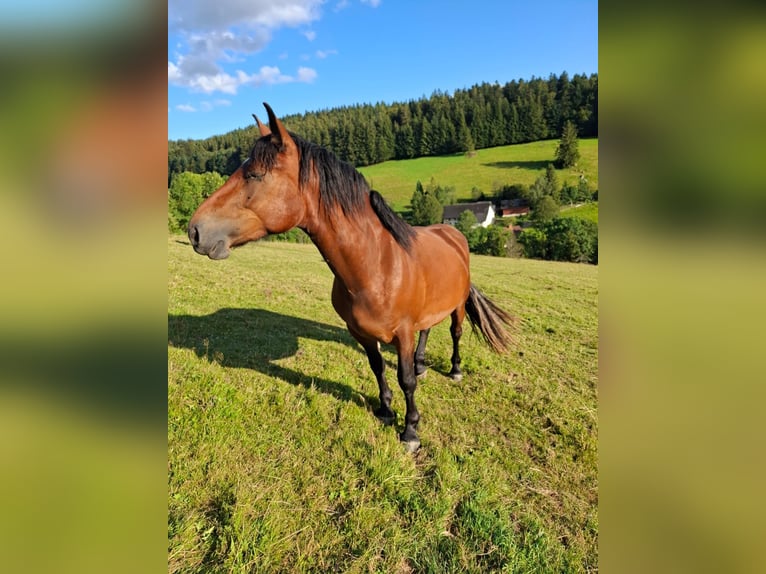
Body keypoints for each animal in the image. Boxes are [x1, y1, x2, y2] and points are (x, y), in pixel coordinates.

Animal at [190, 104, 516, 454]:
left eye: (254, 175)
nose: (195, 230)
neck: (375, 266)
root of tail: (454, 235)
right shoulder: (361, 332)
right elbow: (378, 367)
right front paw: (385, 410)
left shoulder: (402, 333)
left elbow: (406, 380)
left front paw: (410, 430)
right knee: (427, 329)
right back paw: (421, 363)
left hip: (456, 306)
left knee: (455, 333)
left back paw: (454, 370)